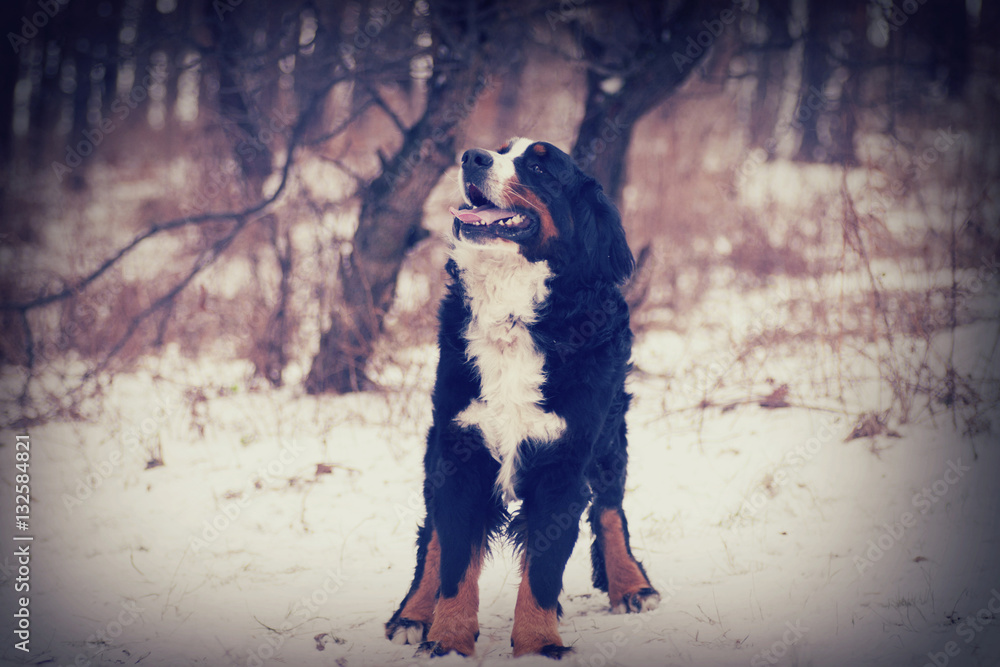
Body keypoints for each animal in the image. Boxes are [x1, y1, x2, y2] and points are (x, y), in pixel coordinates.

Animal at [382, 138, 656, 660]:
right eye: (501, 149)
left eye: (540, 167)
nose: (472, 156)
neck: (511, 314)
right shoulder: (461, 449)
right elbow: (453, 563)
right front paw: (447, 641)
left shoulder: (562, 462)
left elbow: (543, 575)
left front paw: (538, 646)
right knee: (432, 535)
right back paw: (412, 614)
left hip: (609, 434)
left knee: (610, 508)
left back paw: (633, 585)